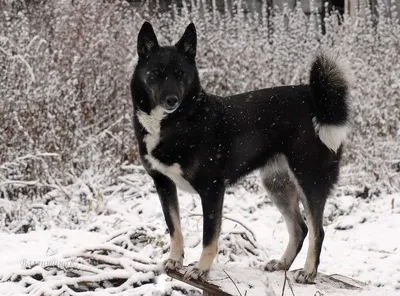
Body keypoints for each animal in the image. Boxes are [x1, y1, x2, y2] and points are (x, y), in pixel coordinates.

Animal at [130, 21, 352, 284]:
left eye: (180, 74)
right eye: (156, 73)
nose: (171, 100)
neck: (179, 120)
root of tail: (317, 100)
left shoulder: (212, 189)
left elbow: (209, 237)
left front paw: (201, 269)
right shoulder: (162, 183)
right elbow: (174, 227)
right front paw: (175, 259)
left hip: (309, 179)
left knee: (318, 230)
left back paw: (308, 272)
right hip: (277, 184)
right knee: (300, 228)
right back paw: (283, 263)